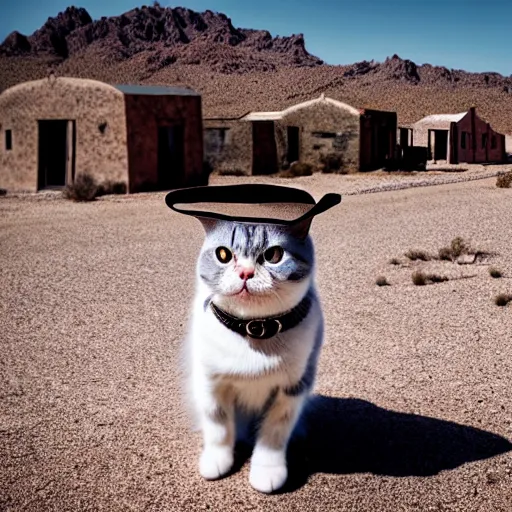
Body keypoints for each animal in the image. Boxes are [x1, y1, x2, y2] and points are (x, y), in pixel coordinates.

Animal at [185, 216, 324, 492]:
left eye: (273, 255)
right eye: (223, 254)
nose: (245, 272)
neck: (255, 332)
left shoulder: (293, 388)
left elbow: (274, 431)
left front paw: (267, 472)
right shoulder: (209, 382)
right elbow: (218, 425)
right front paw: (217, 460)